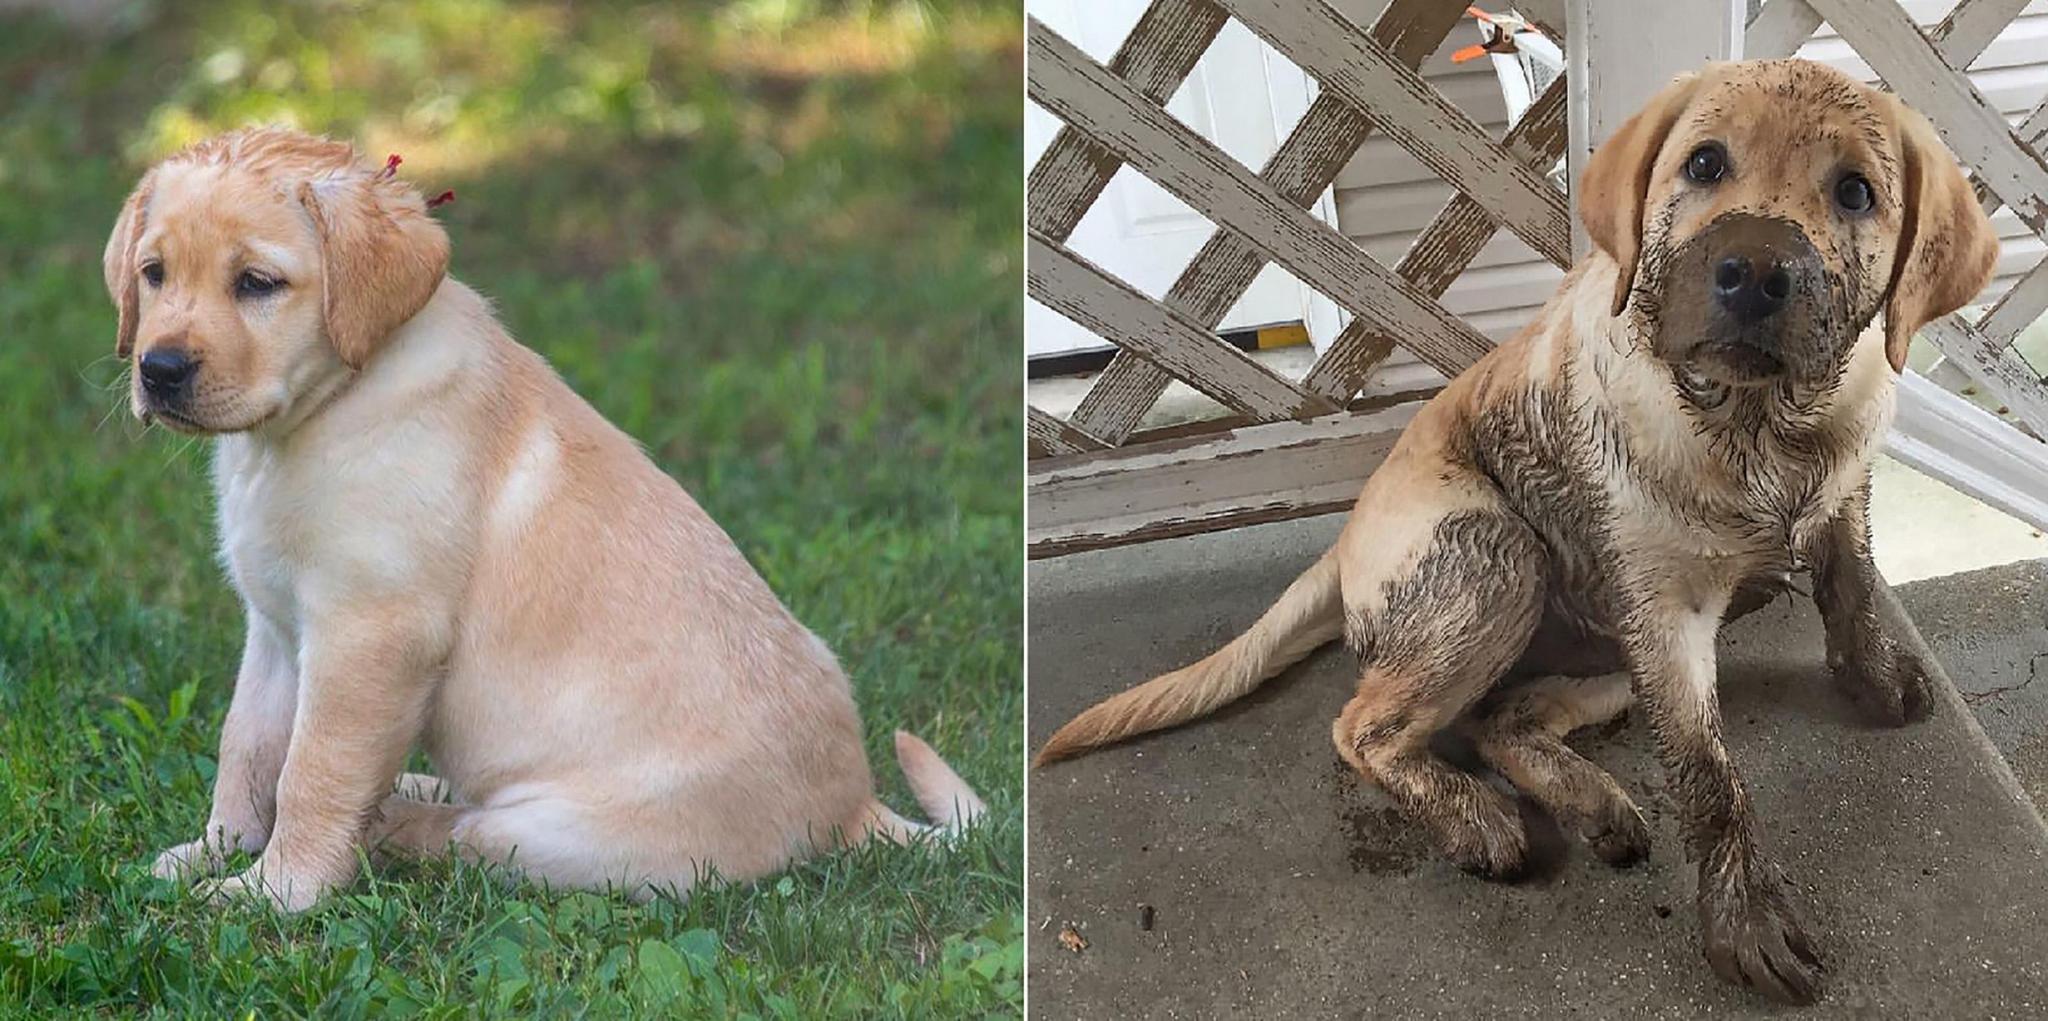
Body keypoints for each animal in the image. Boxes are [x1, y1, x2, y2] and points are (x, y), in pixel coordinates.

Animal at [103, 125, 983, 912]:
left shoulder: (370, 632)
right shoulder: (278, 627)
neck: (318, 415)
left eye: (256, 283)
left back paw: (391, 819)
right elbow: (248, 747)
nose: (159, 369)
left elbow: (312, 770)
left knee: (461, 832)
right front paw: (213, 849)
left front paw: (275, 891)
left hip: (563, 835)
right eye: (154, 274)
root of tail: (855, 804)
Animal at [1032, 58, 1990, 1006]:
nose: (1754, 271)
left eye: (1857, 191)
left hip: (1627, 637)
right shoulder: (1668, 615)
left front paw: (1875, 677)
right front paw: (1747, 918)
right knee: (1365, 727)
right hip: (1500, 558)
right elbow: (1708, 772)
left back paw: (1590, 802)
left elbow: (1851, 585)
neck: (1761, 426)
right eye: (1705, 163)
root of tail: (1342, 545)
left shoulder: (1840, 497)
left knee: (1504, 717)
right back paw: (1477, 817)